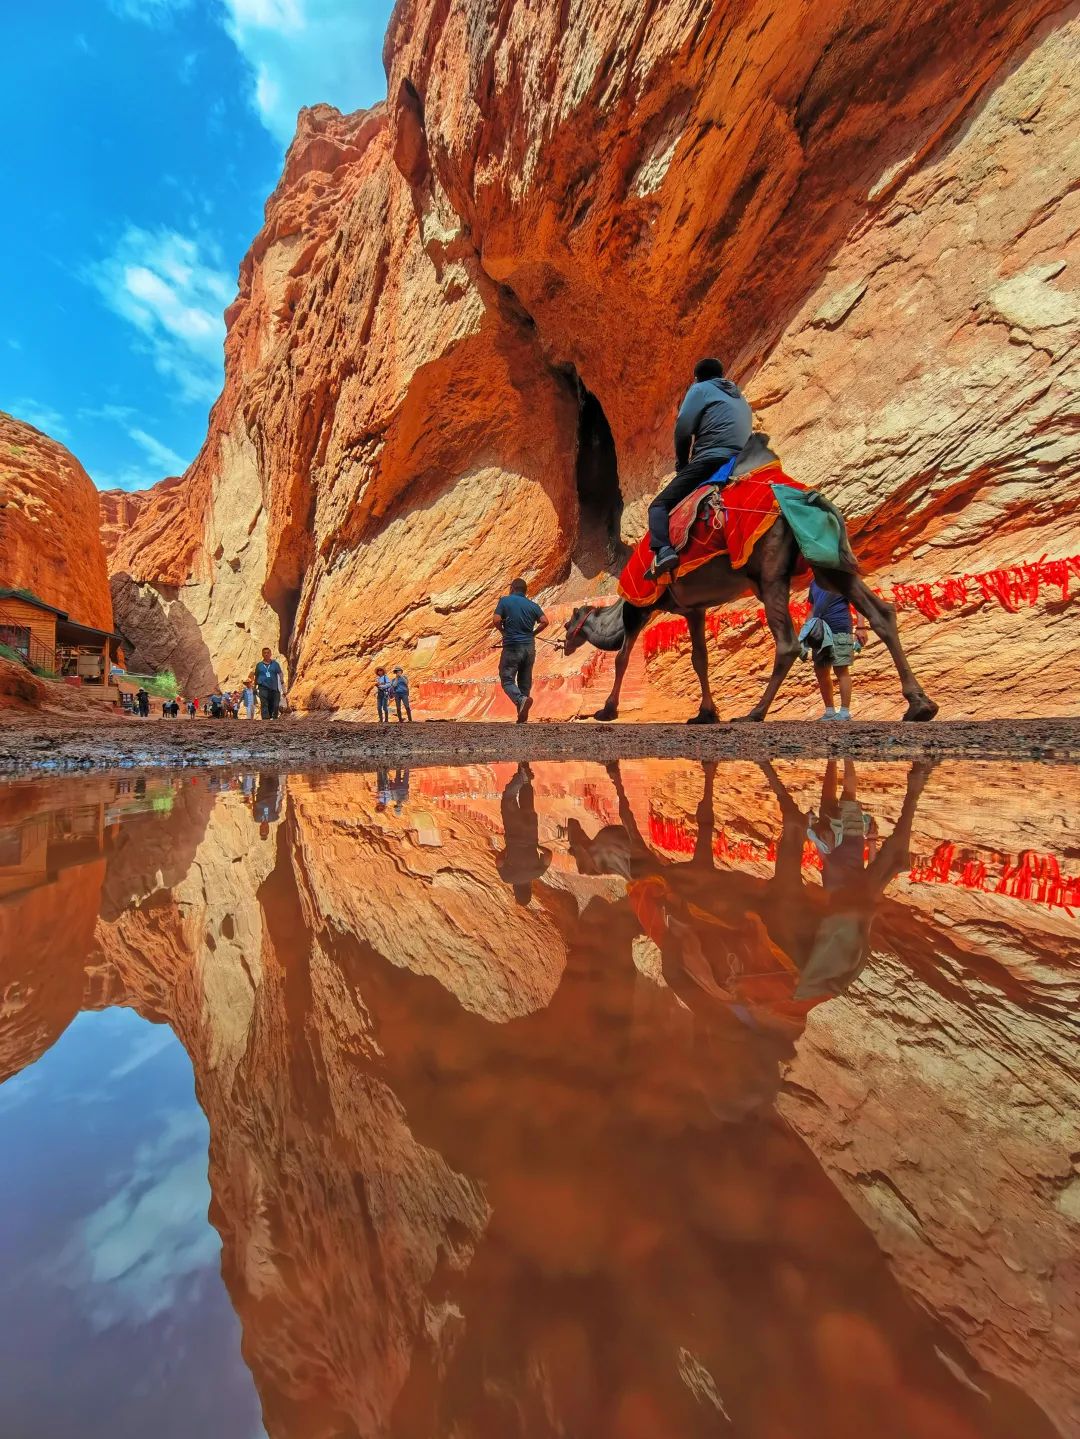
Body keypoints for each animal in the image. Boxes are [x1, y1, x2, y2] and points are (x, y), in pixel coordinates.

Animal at [566, 489, 937, 725]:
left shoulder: (639, 605)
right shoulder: (694, 609)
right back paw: (920, 704)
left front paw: (606, 710)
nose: (564, 646)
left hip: (770, 571)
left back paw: (755, 712)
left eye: (568, 624)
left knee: (788, 643)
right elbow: (700, 659)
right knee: (881, 613)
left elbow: (622, 659)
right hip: (827, 568)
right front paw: (706, 713)